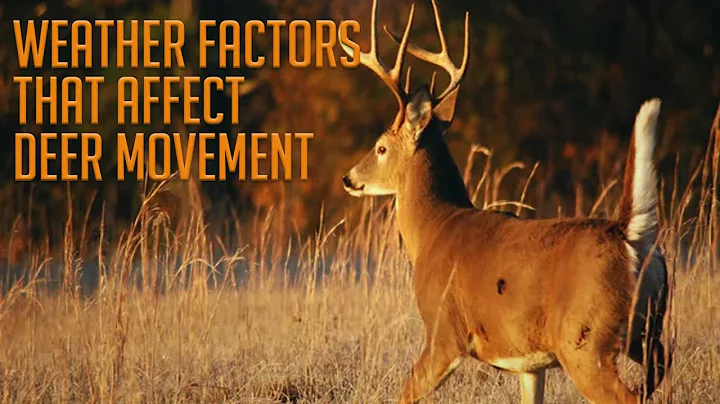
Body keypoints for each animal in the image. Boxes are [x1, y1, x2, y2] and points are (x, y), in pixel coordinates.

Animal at [340, 0, 671, 403]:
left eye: (381, 147)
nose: (349, 178)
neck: (435, 229)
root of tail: (627, 233)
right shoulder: (529, 364)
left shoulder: (444, 332)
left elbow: (406, 392)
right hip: (647, 331)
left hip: (585, 339)